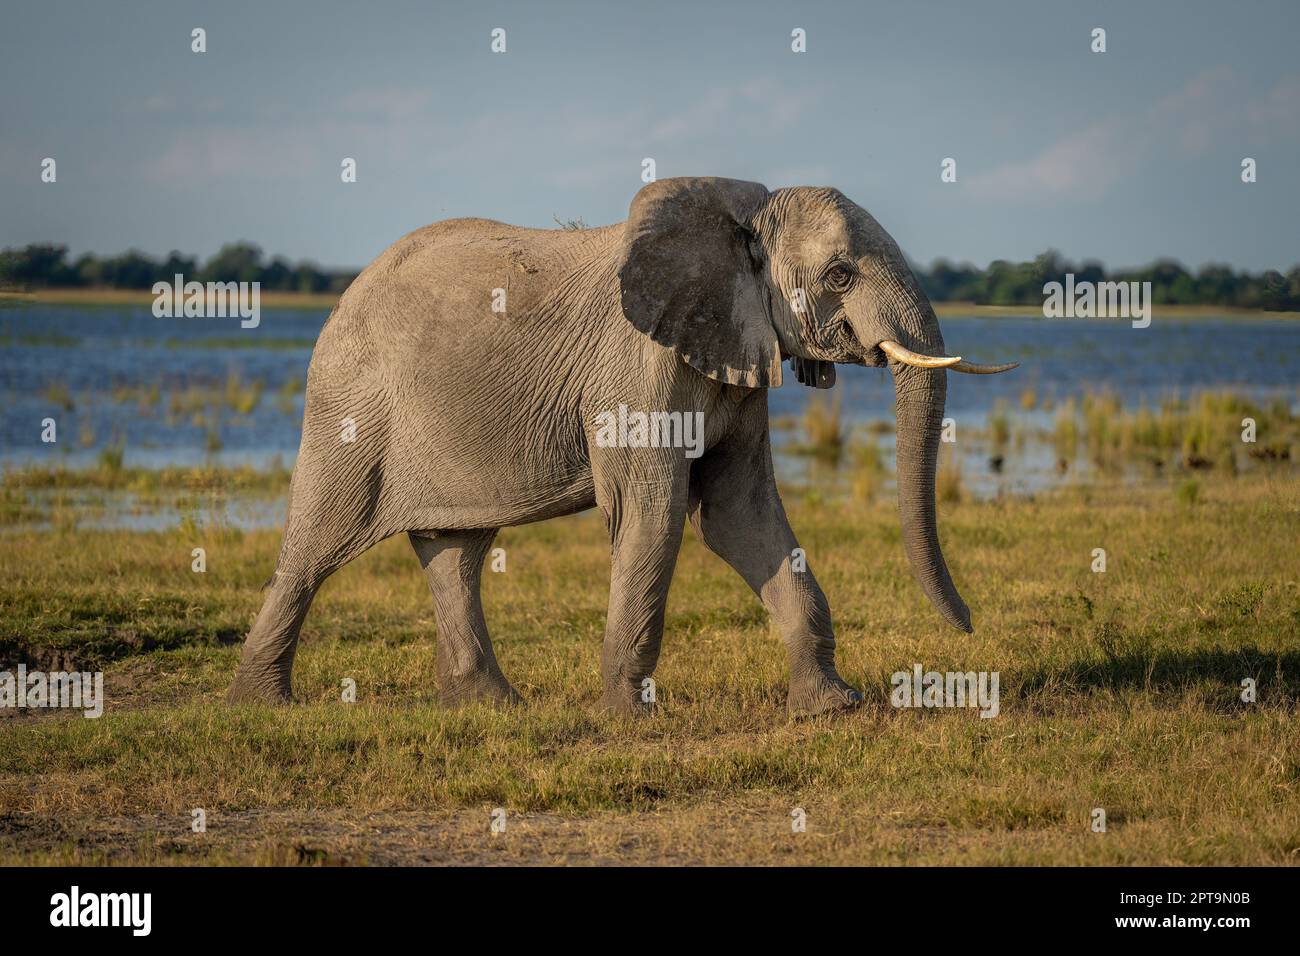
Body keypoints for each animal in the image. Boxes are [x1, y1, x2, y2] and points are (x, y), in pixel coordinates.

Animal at [226, 176, 1016, 716]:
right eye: (841, 275)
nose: (970, 629)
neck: (740, 216)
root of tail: (342, 297)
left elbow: (740, 516)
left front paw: (831, 707)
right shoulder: (639, 367)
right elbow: (653, 515)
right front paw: (625, 718)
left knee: (456, 550)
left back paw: (492, 706)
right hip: (351, 407)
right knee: (318, 544)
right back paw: (262, 705)